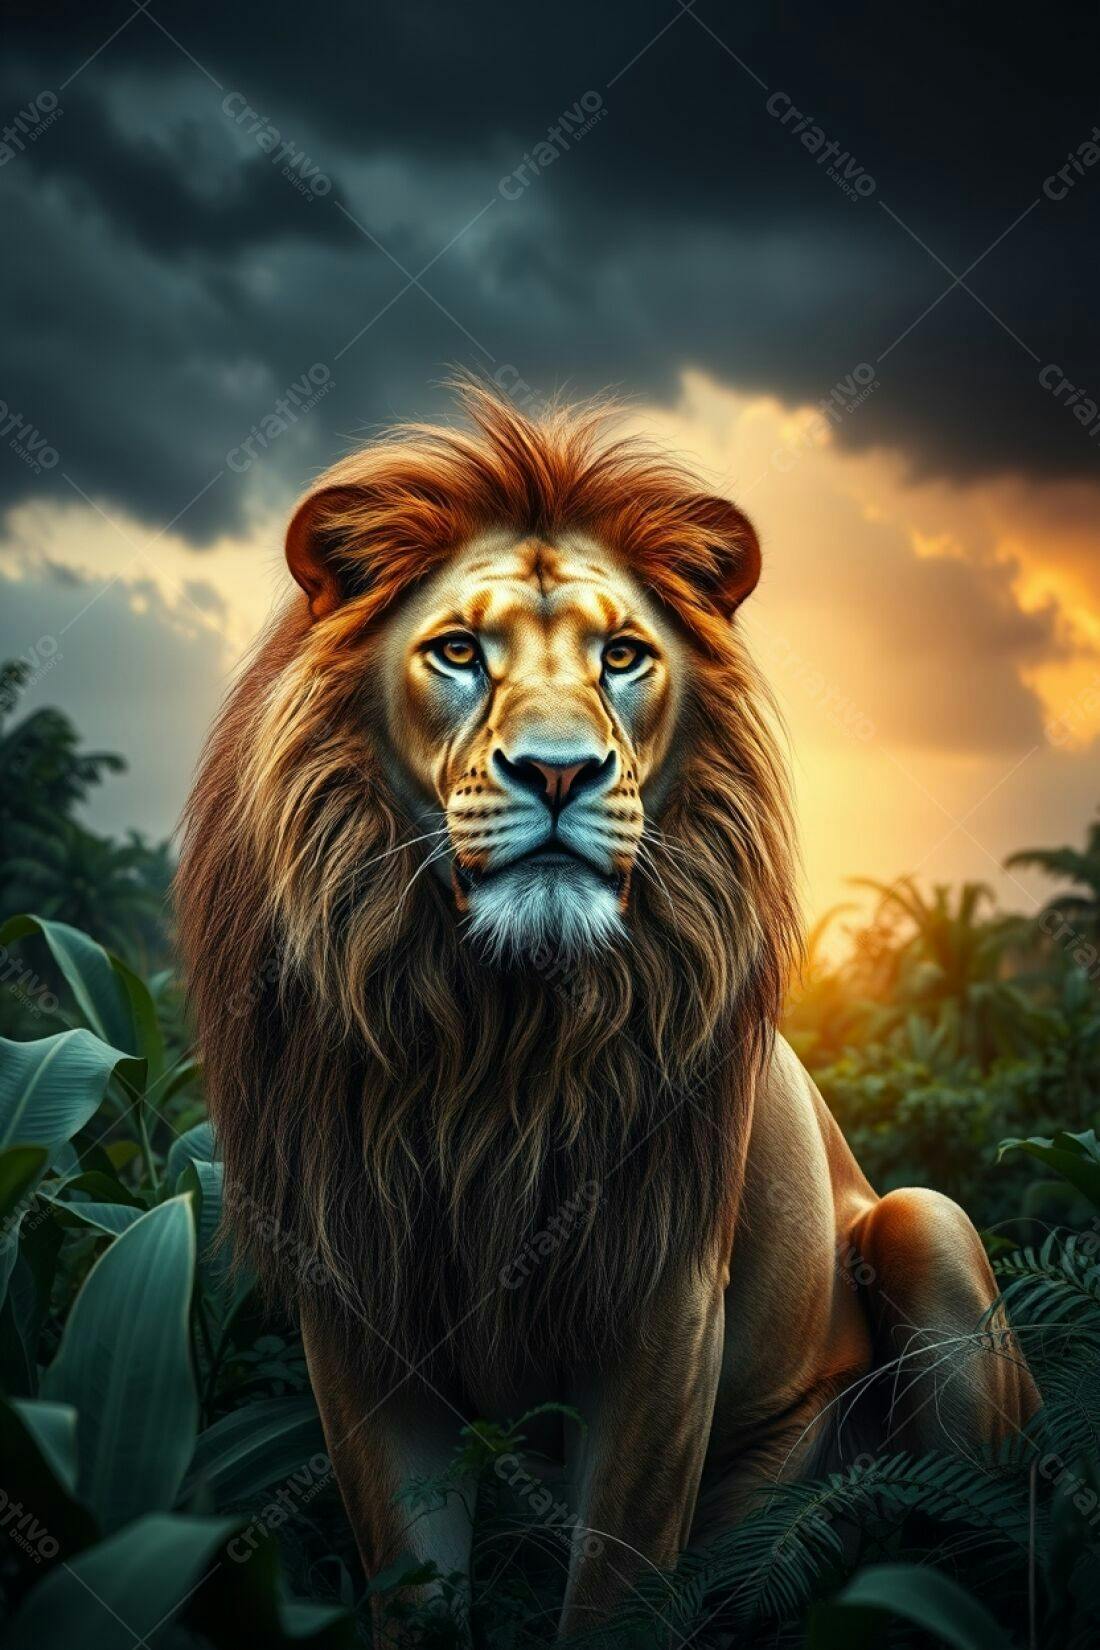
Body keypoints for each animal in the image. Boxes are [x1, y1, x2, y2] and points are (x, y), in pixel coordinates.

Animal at [177, 382, 1035, 1638]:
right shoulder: (357, 1306)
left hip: (925, 1227)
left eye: (621, 656)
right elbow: (414, 1584)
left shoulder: (660, 1307)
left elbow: (613, 1591)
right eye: (457, 652)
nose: (557, 771)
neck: (496, 1028)